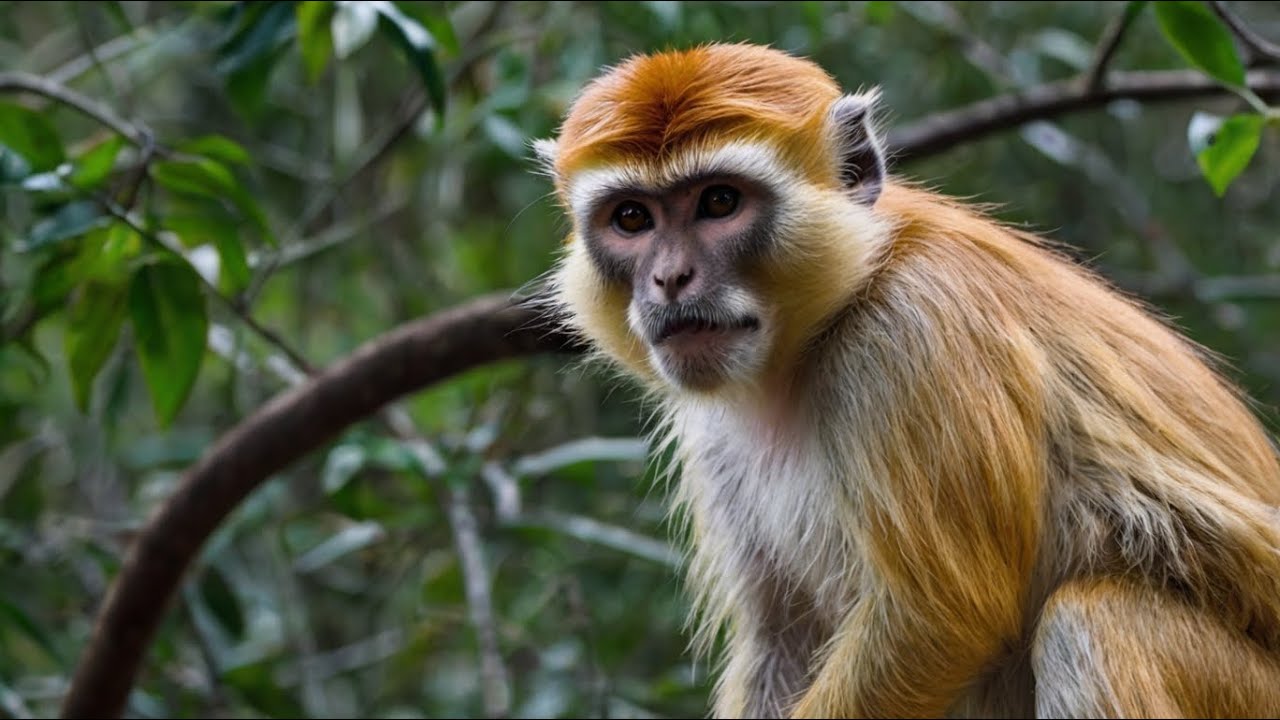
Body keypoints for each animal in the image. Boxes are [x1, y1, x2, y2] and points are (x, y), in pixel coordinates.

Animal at [532, 42, 1280, 718]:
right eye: (632, 218)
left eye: (719, 202)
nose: (669, 278)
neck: (831, 315)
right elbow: (785, 638)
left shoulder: (912, 334)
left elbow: (940, 620)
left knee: (1089, 623)